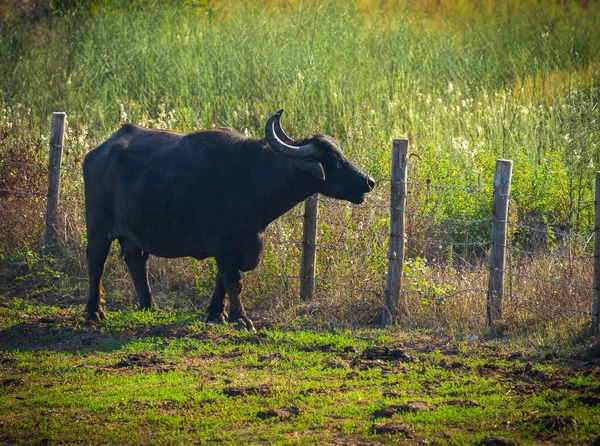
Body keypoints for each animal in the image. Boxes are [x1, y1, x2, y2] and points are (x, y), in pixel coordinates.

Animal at [83, 110, 376, 330]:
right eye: (332, 161)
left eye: (341, 154)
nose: (368, 181)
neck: (252, 178)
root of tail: (98, 151)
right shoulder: (222, 243)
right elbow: (234, 281)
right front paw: (241, 319)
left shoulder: (238, 245)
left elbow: (222, 280)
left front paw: (216, 314)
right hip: (98, 226)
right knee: (96, 263)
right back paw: (94, 312)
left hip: (132, 233)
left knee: (137, 262)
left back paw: (149, 306)